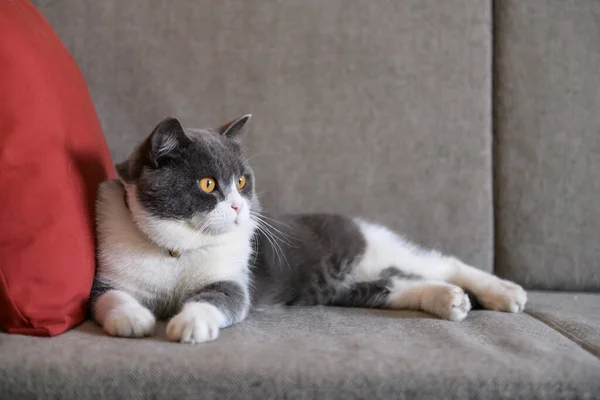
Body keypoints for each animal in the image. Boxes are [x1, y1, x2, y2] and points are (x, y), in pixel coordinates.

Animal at [91, 115, 528, 344]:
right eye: (208, 184)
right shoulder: (110, 275)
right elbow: (108, 299)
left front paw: (190, 323)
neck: (176, 252)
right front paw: (132, 320)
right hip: (347, 287)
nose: (238, 206)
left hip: (372, 245)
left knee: (442, 262)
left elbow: (217, 298)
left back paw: (505, 293)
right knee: (395, 285)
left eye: (243, 181)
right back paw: (451, 300)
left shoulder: (232, 280)